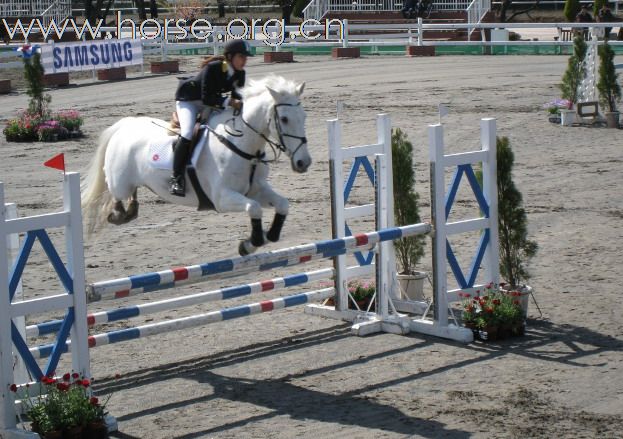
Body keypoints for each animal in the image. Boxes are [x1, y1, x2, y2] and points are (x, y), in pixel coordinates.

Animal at [81, 74, 312, 256]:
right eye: (284, 119)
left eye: (304, 116)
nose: (304, 162)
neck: (241, 145)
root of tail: (124, 126)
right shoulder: (222, 198)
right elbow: (254, 208)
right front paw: (251, 243)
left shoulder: (256, 189)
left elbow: (282, 204)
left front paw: (266, 237)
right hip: (120, 182)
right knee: (114, 193)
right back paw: (119, 213)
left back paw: (130, 210)